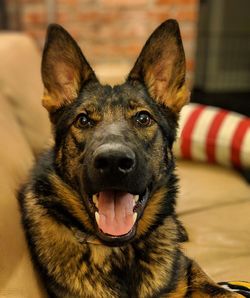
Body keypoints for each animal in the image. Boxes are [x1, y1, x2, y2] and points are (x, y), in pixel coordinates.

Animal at [16, 19, 242, 296]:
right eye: (83, 120)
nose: (113, 162)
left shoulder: (188, 269)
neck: (119, 251)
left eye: (143, 118)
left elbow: (217, 287)